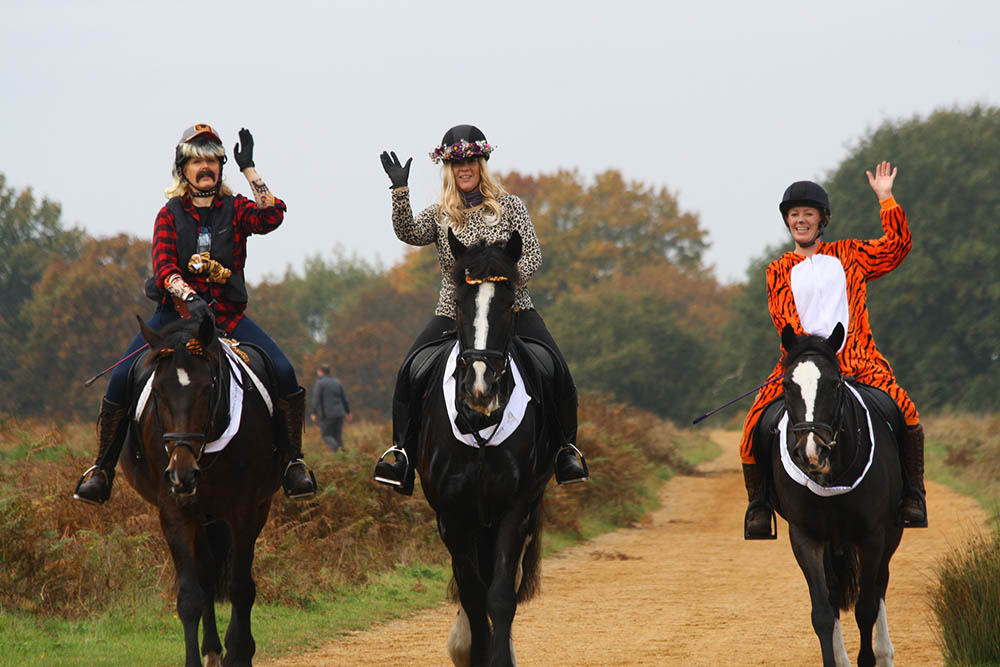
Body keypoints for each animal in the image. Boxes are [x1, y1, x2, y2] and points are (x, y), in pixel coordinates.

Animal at [122, 314, 286, 667]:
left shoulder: (244, 512)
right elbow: (190, 595)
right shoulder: (176, 513)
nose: (182, 474)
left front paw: (240, 652)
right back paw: (211, 648)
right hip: (202, 516)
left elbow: (241, 587)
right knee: (207, 574)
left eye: (207, 388)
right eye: (157, 391)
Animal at [408, 228, 564, 664]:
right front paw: (470, 649)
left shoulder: (515, 508)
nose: (481, 386)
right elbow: (474, 595)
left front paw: (496, 656)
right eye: (461, 303)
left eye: (509, 304)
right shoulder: (451, 514)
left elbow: (499, 596)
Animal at [756, 320, 908, 664]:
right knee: (836, 592)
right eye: (787, 385)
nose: (811, 452)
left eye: (834, 384)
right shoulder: (806, 536)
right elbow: (823, 613)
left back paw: (885, 653)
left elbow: (866, 608)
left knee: (880, 585)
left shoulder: (872, 535)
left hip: (890, 533)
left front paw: (869, 659)